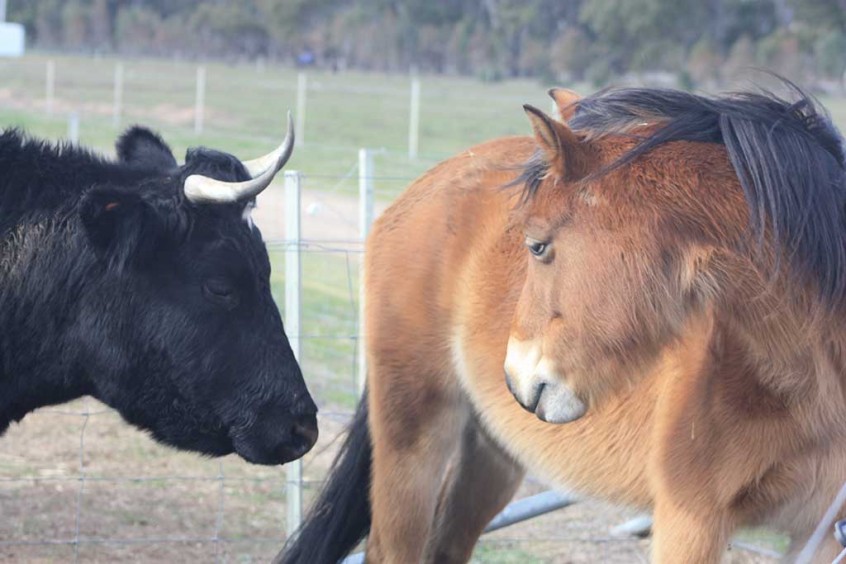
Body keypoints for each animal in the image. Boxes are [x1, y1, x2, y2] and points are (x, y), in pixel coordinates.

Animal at [282, 85, 846, 564]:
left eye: (537, 245)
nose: (517, 378)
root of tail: (427, 185)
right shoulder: (691, 522)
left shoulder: (819, 533)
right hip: (412, 432)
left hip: (492, 456)